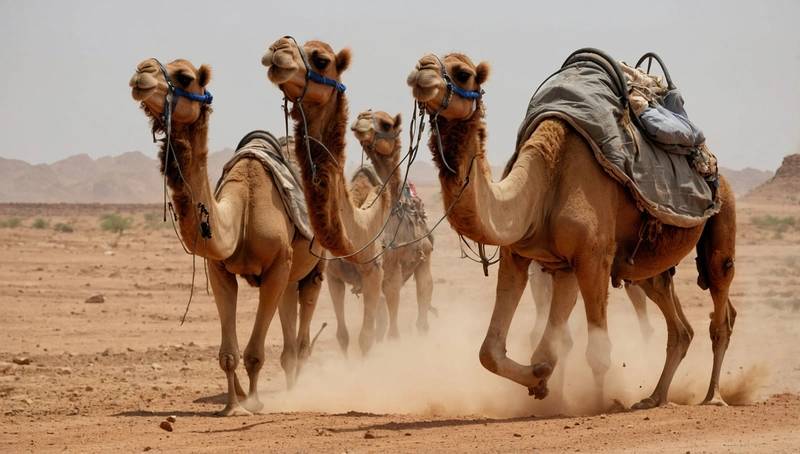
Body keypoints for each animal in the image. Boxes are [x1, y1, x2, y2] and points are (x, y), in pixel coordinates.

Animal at [129, 58, 324, 416]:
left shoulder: (277, 265)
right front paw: (233, 406)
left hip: (316, 266)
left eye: (185, 77)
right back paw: (288, 389)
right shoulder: (219, 269)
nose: (142, 72)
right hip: (290, 273)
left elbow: (254, 353)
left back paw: (297, 392)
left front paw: (254, 404)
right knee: (289, 331)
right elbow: (228, 354)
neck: (241, 213)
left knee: (304, 326)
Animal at [325, 110, 435, 353]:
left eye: (386, 123)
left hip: (424, 259)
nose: (361, 120)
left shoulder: (387, 274)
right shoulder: (333, 276)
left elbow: (378, 336)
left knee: (422, 306)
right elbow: (343, 336)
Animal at [407, 52, 737, 410]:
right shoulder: (531, 258)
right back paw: (655, 397)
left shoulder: (593, 257)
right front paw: (541, 379)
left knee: (720, 306)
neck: (544, 179)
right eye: (423, 61)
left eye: (463, 73)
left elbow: (597, 351)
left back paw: (713, 397)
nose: (421, 72)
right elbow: (494, 351)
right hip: (647, 266)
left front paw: (600, 404)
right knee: (678, 323)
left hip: (722, 219)